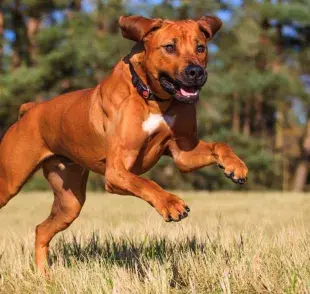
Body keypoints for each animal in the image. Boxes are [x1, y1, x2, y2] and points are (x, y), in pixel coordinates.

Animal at [0, 15, 247, 274]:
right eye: (170, 47)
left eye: (201, 47)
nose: (196, 72)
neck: (153, 96)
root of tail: (30, 110)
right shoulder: (117, 171)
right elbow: (145, 182)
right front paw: (170, 203)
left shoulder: (183, 153)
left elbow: (219, 145)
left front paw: (235, 165)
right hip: (9, 181)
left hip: (69, 201)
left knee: (41, 230)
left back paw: (44, 275)